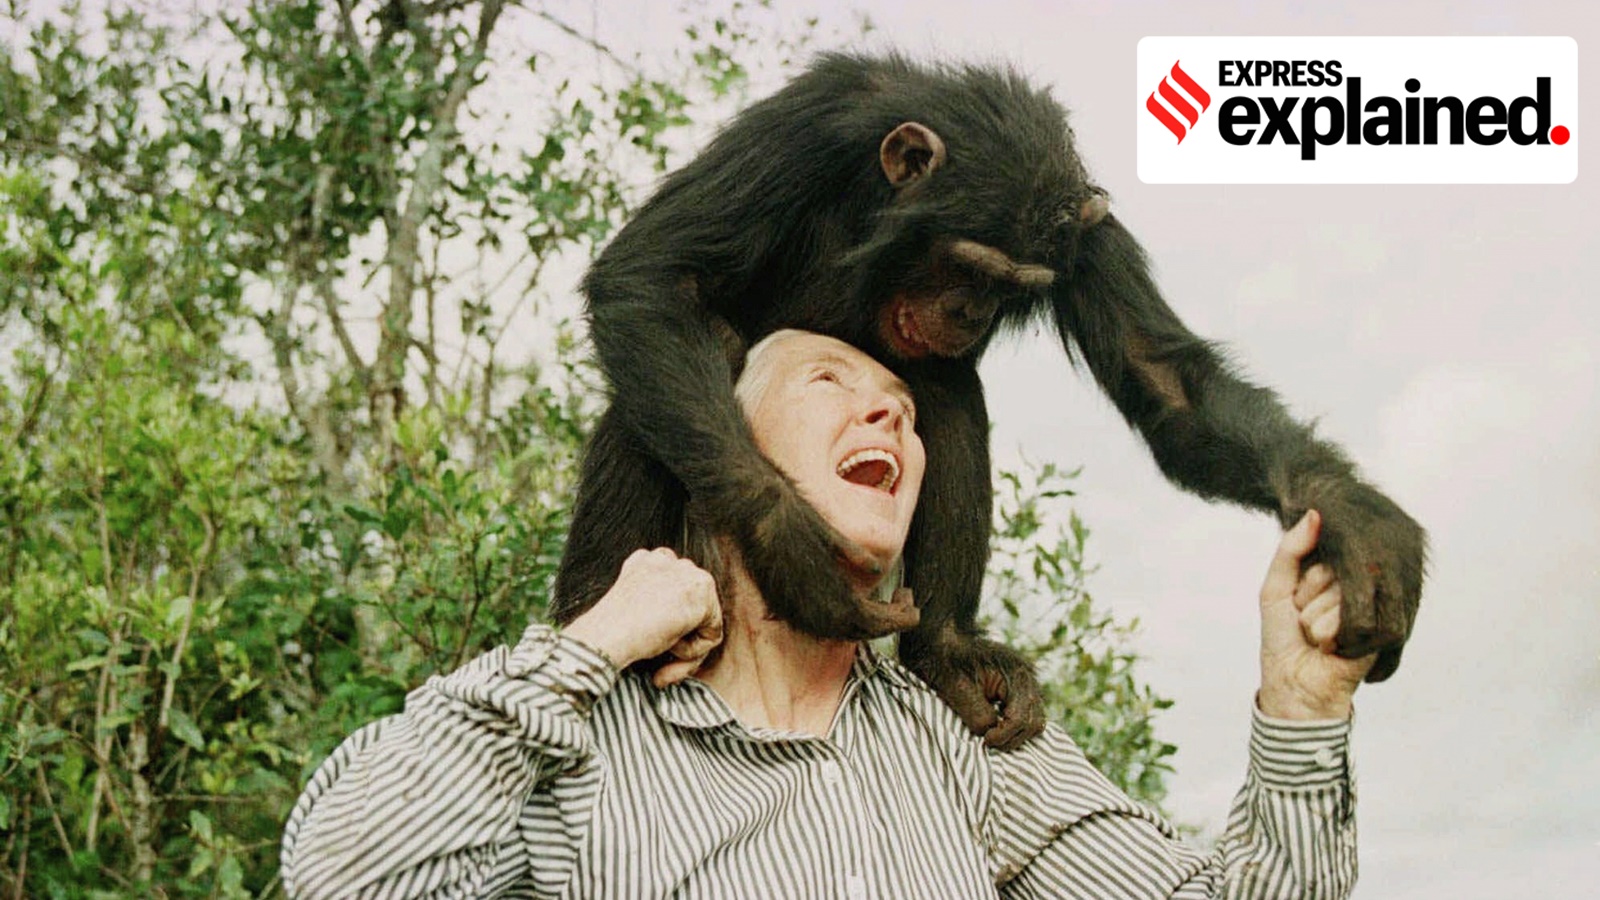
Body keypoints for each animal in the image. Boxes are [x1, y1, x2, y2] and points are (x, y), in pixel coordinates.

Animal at [548, 53, 1427, 750]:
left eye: (1011, 286)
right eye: (967, 264)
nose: (969, 311)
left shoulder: (1086, 238)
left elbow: (1166, 381)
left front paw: (1355, 522)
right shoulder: (802, 129)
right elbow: (656, 273)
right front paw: (793, 553)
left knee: (948, 392)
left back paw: (947, 648)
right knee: (673, 381)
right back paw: (596, 615)